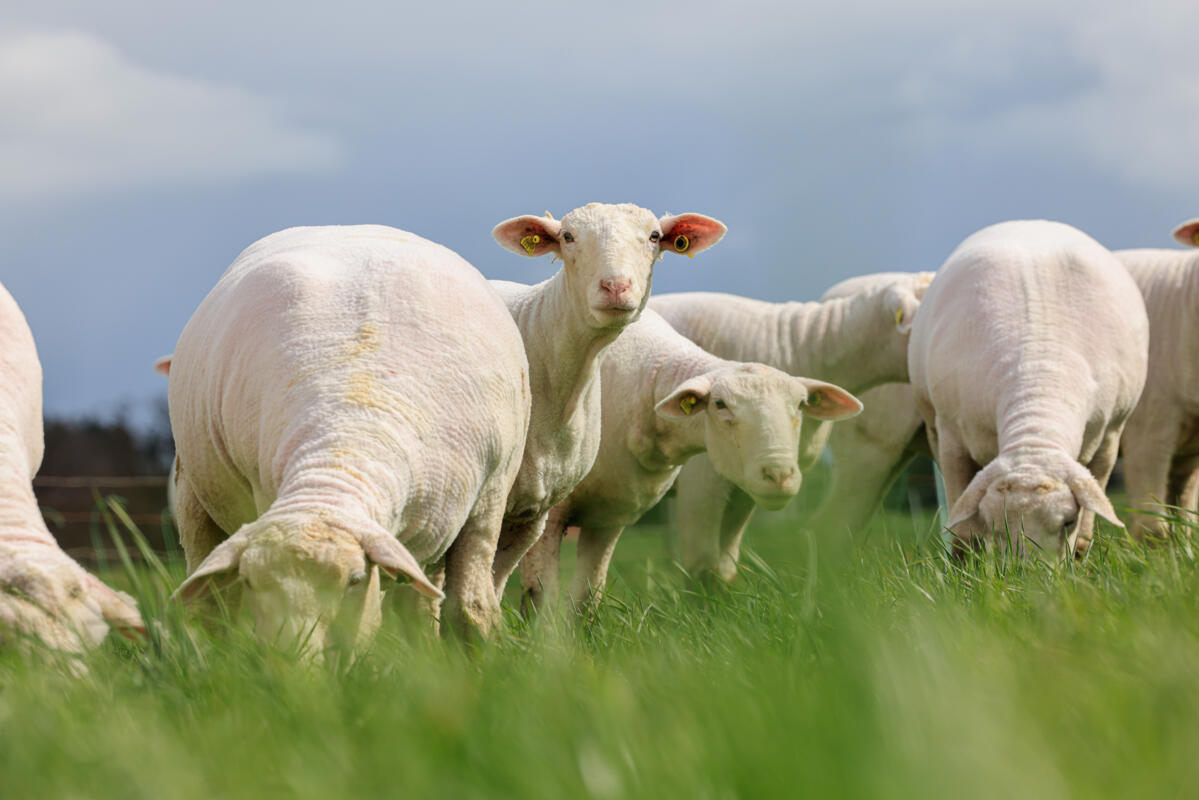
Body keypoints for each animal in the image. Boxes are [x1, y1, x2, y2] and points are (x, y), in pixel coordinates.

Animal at [169, 225, 531, 653]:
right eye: (252, 582)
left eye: (354, 581)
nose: (294, 661)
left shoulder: (488, 499)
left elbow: (470, 609)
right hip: (194, 494)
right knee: (208, 603)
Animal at [517, 308, 861, 612]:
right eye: (720, 404)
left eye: (801, 404)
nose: (779, 475)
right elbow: (540, 596)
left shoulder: (612, 510)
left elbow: (588, 596)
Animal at [908, 220, 1147, 557]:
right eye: (997, 526)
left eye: (1068, 522)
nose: (1028, 570)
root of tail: (1028, 223)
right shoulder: (951, 433)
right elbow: (964, 532)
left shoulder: (1110, 434)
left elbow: (1090, 511)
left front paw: (1079, 554)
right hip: (933, 423)